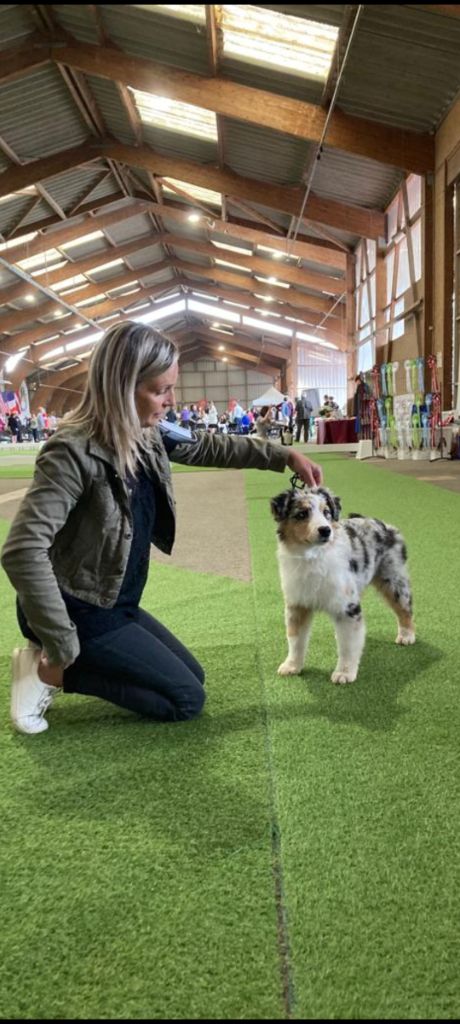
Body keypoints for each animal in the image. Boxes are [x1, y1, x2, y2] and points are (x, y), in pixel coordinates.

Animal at [270, 483, 413, 684]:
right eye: (302, 514)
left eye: (327, 512)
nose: (325, 530)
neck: (313, 557)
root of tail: (385, 525)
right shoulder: (297, 604)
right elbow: (295, 639)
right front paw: (292, 666)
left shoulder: (347, 607)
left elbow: (348, 645)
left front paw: (344, 673)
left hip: (394, 579)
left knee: (405, 608)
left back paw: (407, 635)